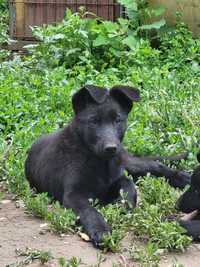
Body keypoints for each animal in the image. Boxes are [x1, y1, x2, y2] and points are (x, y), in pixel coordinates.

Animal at [25, 85, 191, 247]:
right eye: (93, 121)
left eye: (117, 120)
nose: (111, 148)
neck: (98, 161)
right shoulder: (73, 195)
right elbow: (89, 210)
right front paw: (101, 229)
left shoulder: (116, 175)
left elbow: (128, 184)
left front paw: (122, 204)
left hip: (128, 162)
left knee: (155, 166)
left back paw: (184, 178)